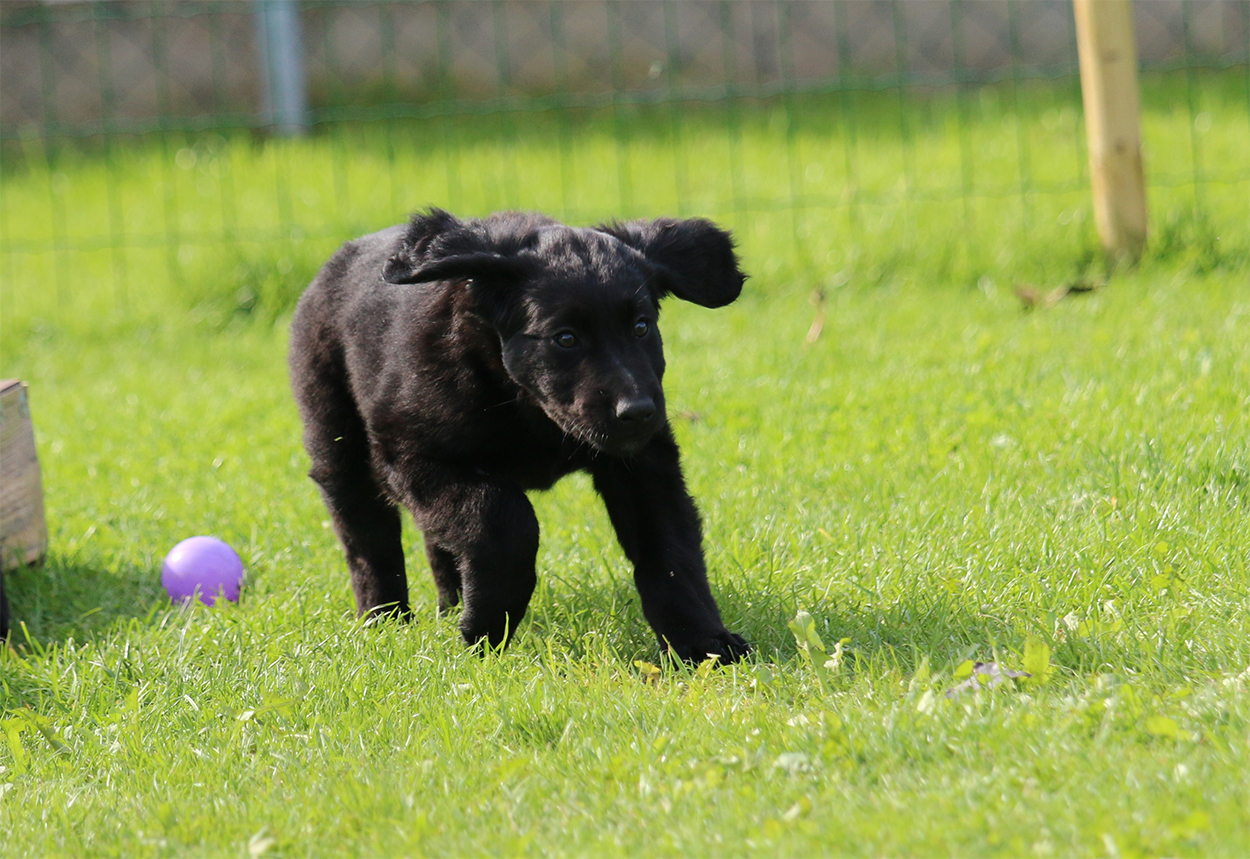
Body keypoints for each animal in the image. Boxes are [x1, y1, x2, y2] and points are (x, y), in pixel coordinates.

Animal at [288, 209, 750, 663]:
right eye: (565, 338)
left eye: (641, 327)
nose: (637, 412)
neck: (527, 407)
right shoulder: (412, 456)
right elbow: (503, 520)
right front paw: (488, 624)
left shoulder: (644, 462)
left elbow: (670, 551)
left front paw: (703, 642)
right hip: (339, 441)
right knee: (366, 538)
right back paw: (385, 621)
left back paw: (452, 605)